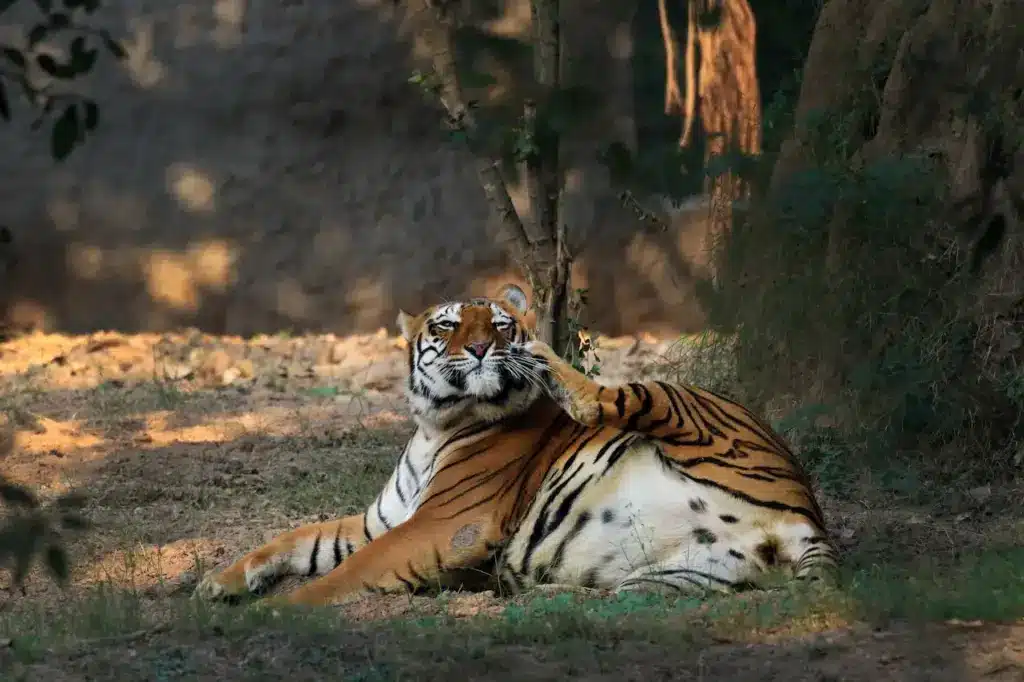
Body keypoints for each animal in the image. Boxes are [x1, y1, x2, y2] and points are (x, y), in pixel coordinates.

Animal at [193, 282, 839, 606]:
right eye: (448, 325)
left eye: (499, 324)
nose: (488, 347)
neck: (435, 426)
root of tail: (807, 515)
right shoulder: (384, 520)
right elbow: (293, 539)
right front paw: (218, 583)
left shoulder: (444, 523)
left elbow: (344, 573)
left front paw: (274, 611)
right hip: (669, 578)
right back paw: (525, 592)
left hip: (685, 401)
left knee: (609, 397)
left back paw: (547, 358)